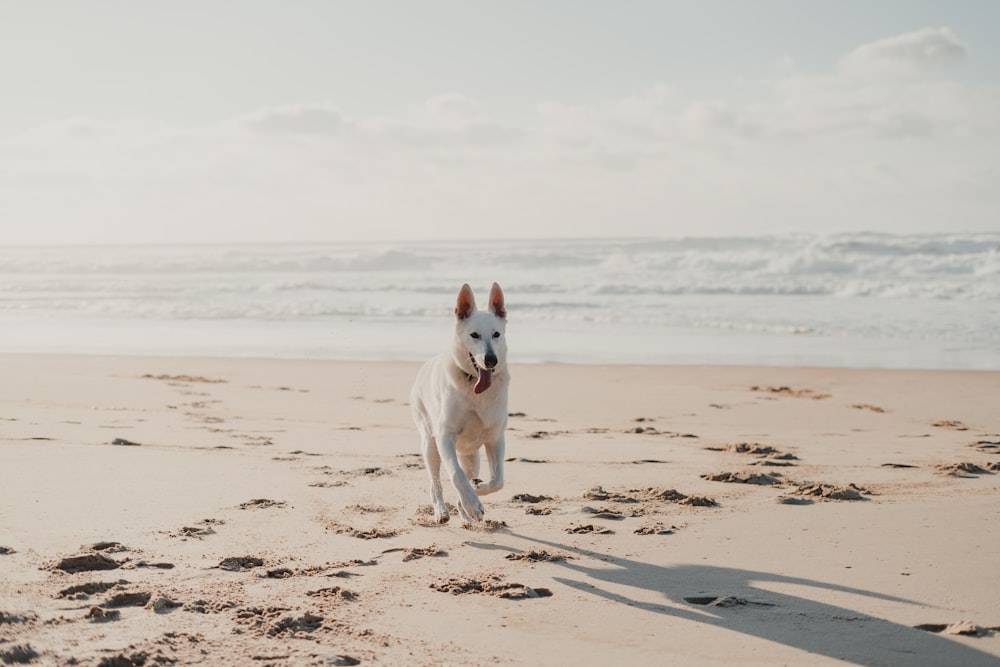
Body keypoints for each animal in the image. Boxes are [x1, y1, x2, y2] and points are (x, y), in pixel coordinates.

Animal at [410, 282, 512, 520]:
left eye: (496, 334)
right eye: (474, 335)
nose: (491, 360)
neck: (474, 385)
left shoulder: (495, 438)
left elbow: (498, 481)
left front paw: (476, 491)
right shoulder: (445, 437)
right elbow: (456, 474)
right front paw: (472, 503)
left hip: (471, 456)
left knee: (469, 474)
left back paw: (465, 510)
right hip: (430, 443)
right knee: (436, 482)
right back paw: (441, 510)